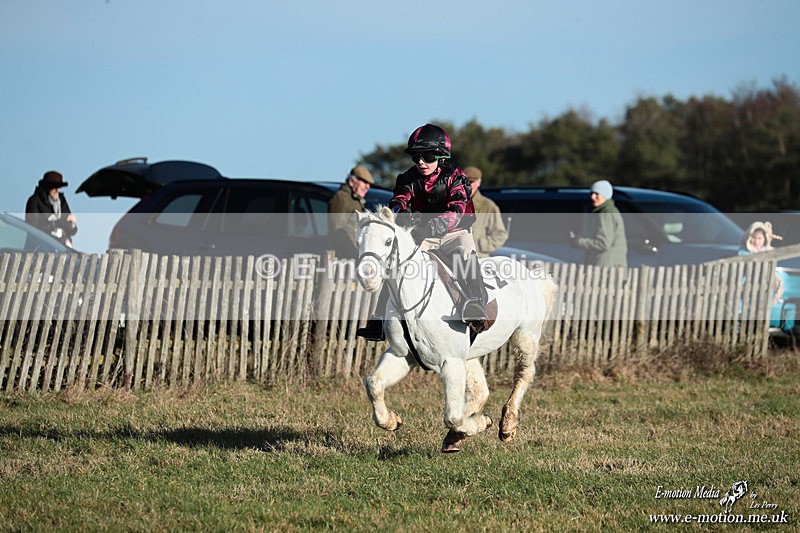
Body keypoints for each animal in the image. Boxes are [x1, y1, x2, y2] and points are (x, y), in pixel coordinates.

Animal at [356, 207, 558, 452]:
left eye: (387, 241)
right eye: (358, 242)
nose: (367, 277)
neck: (413, 298)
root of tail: (530, 274)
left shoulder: (450, 363)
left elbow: (452, 416)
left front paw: (480, 423)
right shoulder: (401, 355)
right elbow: (374, 384)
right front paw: (392, 421)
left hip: (525, 337)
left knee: (523, 374)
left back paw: (506, 425)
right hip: (469, 355)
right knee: (480, 391)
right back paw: (459, 434)